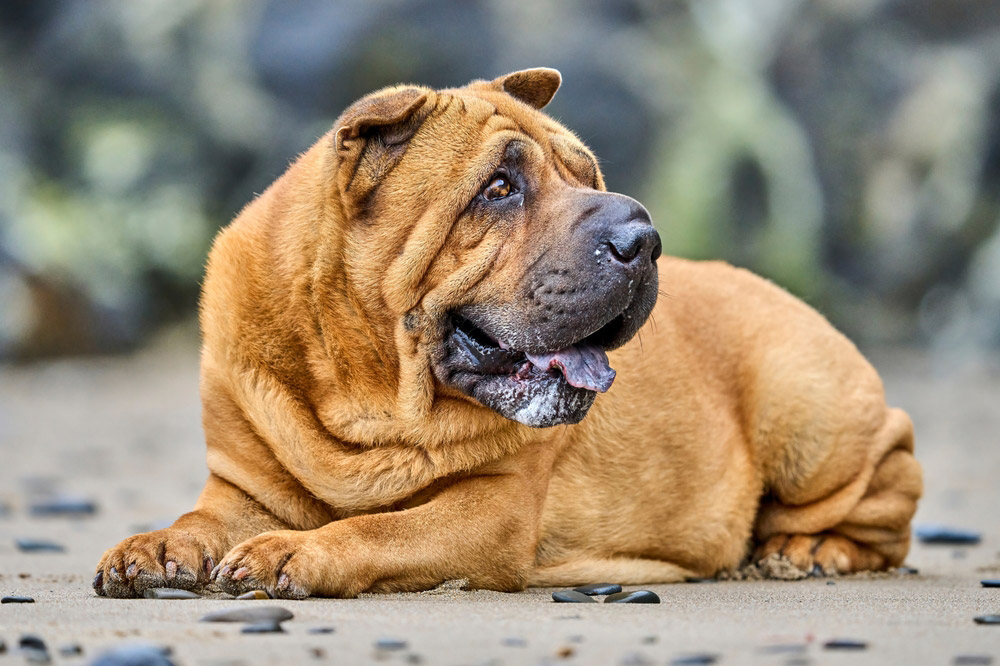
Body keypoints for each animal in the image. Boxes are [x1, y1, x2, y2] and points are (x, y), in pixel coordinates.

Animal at [92, 67, 920, 596]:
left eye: (587, 175)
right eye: (498, 188)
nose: (644, 238)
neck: (368, 395)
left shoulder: (489, 510)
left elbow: (375, 532)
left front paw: (293, 552)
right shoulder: (241, 485)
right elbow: (202, 517)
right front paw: (155, 545)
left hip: (805, 411)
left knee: (885, 493)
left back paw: (806, 550)